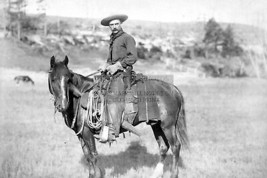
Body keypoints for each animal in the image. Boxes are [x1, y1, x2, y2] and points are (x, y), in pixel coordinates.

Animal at [48, 56, 191, 178]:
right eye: (53, 78)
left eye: (68, 79)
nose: (62, 105)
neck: (80, 95)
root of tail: (173, 88)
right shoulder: (80, 133)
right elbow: (88, 156)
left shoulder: (87, 132)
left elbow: (93, 156)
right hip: (156, 125)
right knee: (163, 147)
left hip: (168, 126)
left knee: (175, 147)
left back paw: (173, 174)